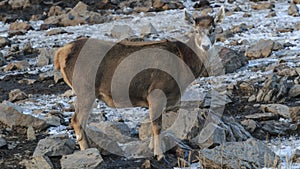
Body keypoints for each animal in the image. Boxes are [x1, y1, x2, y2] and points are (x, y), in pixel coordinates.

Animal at [54, 7, 224, 161]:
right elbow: (157, 126)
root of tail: (61, 53)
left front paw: (151, 148)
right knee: (76, 121)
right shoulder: (157, 91)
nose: (205, 46)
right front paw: (159, 154)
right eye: (196, 30)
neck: (184, 70)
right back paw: (88, 150)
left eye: (213, 29)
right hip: (85, 88)